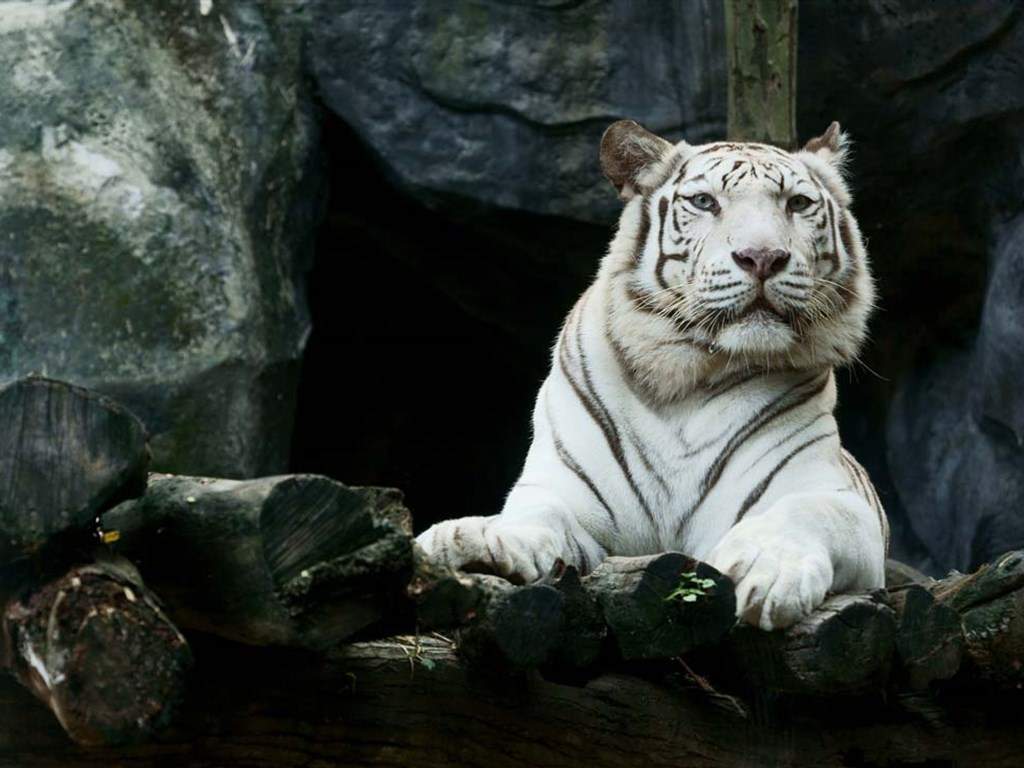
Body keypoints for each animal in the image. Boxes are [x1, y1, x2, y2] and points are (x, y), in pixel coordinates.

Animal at [416, 119, 889, 630]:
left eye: (797, 204)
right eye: (704, 201)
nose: (762, 257)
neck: (688, 379)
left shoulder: (830, 494)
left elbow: (804, 511)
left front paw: (768, 568)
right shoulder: (566, 490)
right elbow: (536, 515)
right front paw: (480, 541)